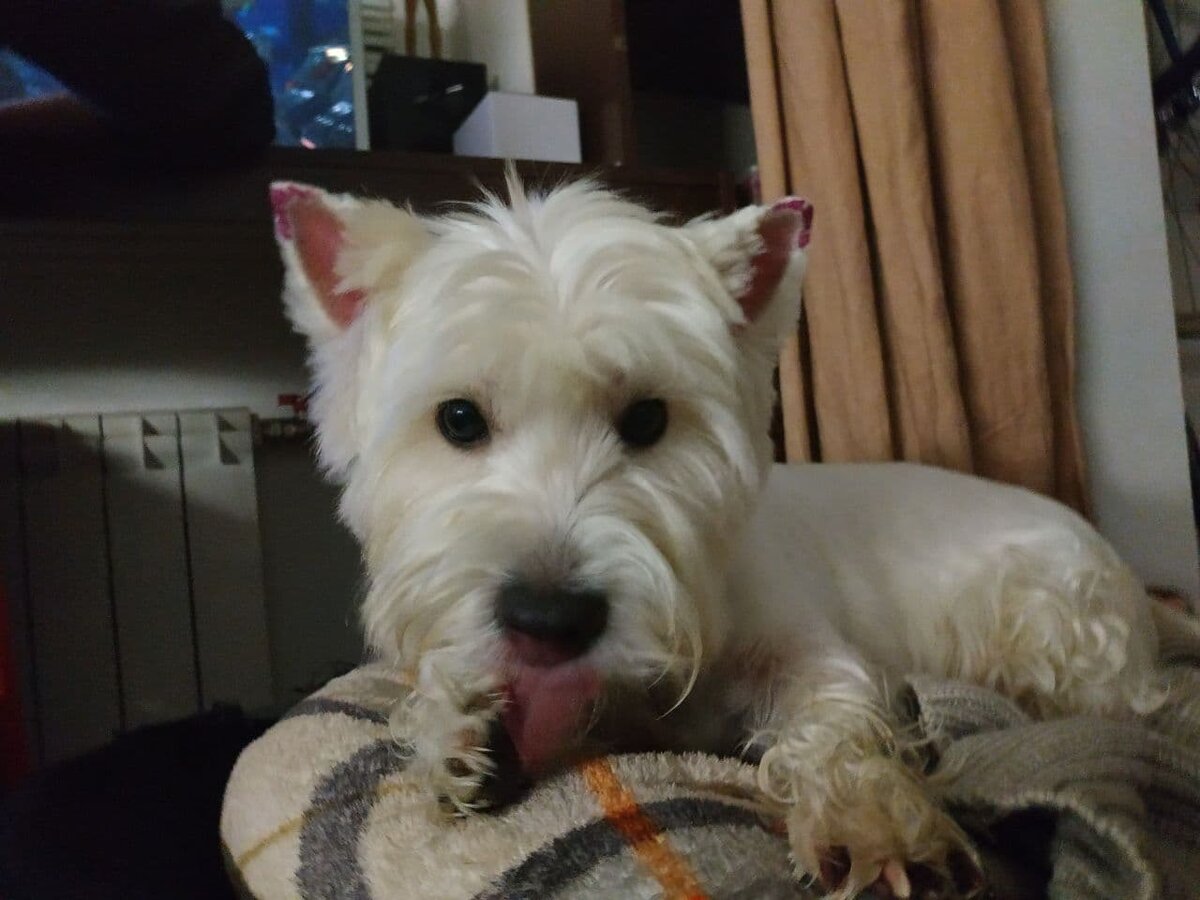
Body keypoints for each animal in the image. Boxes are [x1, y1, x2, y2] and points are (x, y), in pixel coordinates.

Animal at [269, 173, 1167, 899]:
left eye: (647, 419)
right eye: (458, 419)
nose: (550, 622)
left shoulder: (811, 648)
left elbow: (836, 717)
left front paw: (874, 822)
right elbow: (433, 687)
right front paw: (459, 730)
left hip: (1046, 617)